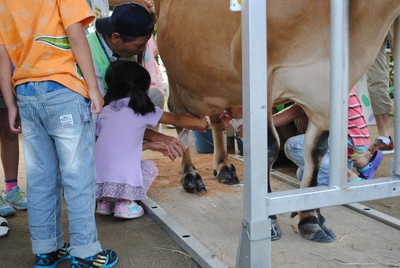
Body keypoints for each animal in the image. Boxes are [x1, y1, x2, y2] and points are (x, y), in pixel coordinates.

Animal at [152, 0, 398, 243]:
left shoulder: (325, 92)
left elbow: (316, 151)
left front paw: (311, 218)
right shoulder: (263, 76)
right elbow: (268, 148)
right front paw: (269, 221)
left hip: (214, 79)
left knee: (214, 116)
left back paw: (224, 168)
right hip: (176, 70)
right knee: (180, 114)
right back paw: (190, 176)